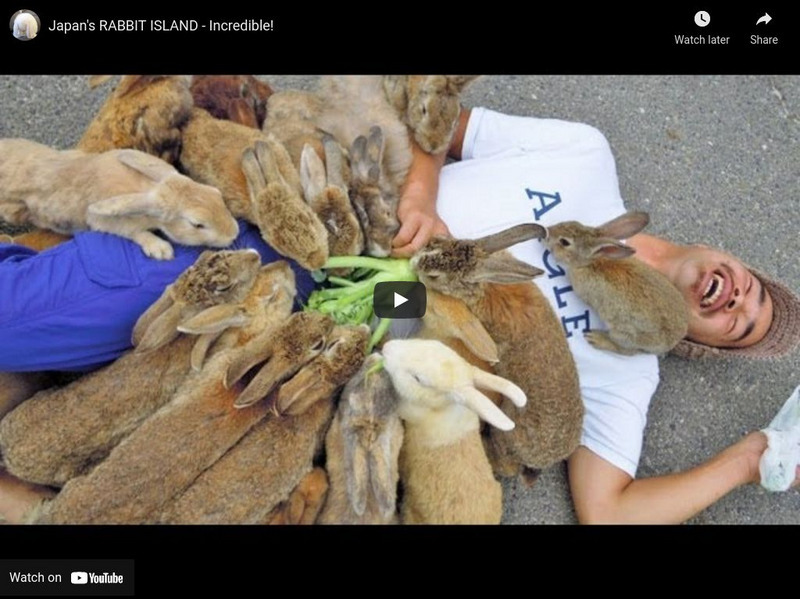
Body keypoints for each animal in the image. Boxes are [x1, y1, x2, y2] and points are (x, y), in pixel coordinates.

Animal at [0, 139, 239, 260]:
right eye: (197, 224)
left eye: (216, 194)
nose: (233, 234)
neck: (146, 188)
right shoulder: (109, 223)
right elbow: (135, 233)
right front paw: (161, 250)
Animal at [411, 224, 584, 477]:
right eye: (434, 241)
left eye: (434, 276)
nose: (412, 263)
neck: (485, 285)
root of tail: (551, 458)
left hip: (505, 433)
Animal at [543, 211, 689, 355]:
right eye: (573, 222)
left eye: (564, 242)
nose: (547, 231)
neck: (591, 262)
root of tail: (674, 341)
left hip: (624, 334)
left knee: (628, 351)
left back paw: (597, 338)